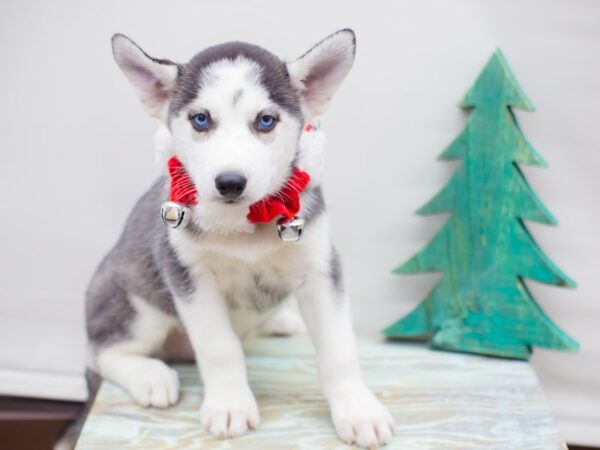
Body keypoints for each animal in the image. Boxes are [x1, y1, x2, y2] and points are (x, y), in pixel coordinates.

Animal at [84, 29, 394, 448]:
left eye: (265, 120)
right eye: (201, 119)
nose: (230, 182)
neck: (247, 224)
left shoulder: (320, 268)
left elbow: (339, 349)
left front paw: (358, 410)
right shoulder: (190, 277)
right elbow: (220, 348)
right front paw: (230, 406)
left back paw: (281, 320)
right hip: (136, 307)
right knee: (105, 352)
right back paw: (150, 377)